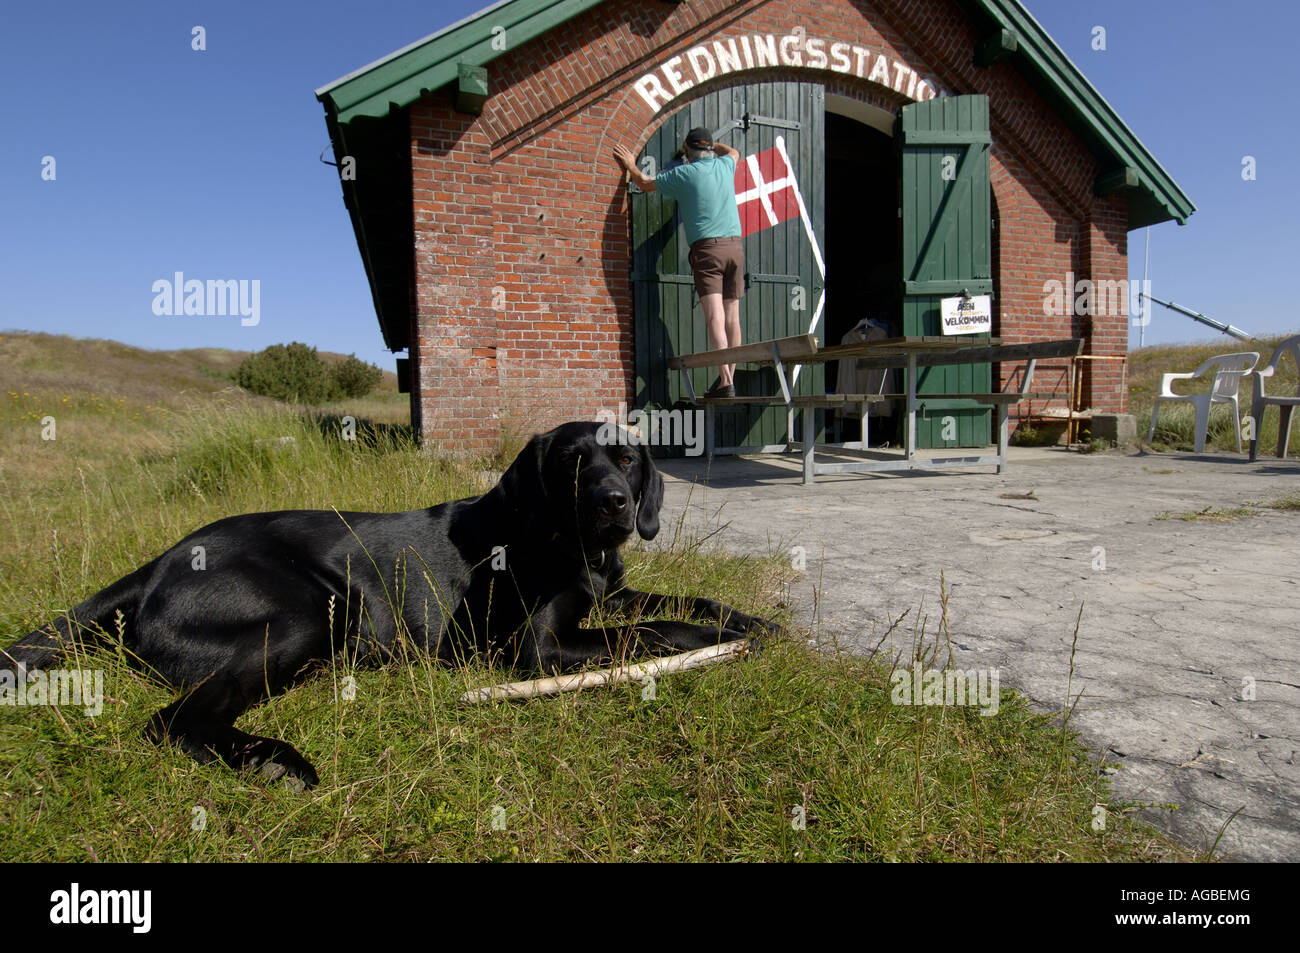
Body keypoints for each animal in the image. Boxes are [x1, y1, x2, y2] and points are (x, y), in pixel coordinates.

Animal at [5, 421, 774, 785]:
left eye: (632, 461)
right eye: (572, 463)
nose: (615, 503)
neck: (572, 548)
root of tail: (157, 562)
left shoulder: (610, 592)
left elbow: (683, 597)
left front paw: (748, 619)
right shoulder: (538, 647)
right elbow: (658, 626)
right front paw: (716, 641)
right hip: (306, 612)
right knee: (172, 720)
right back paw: (277, 761)